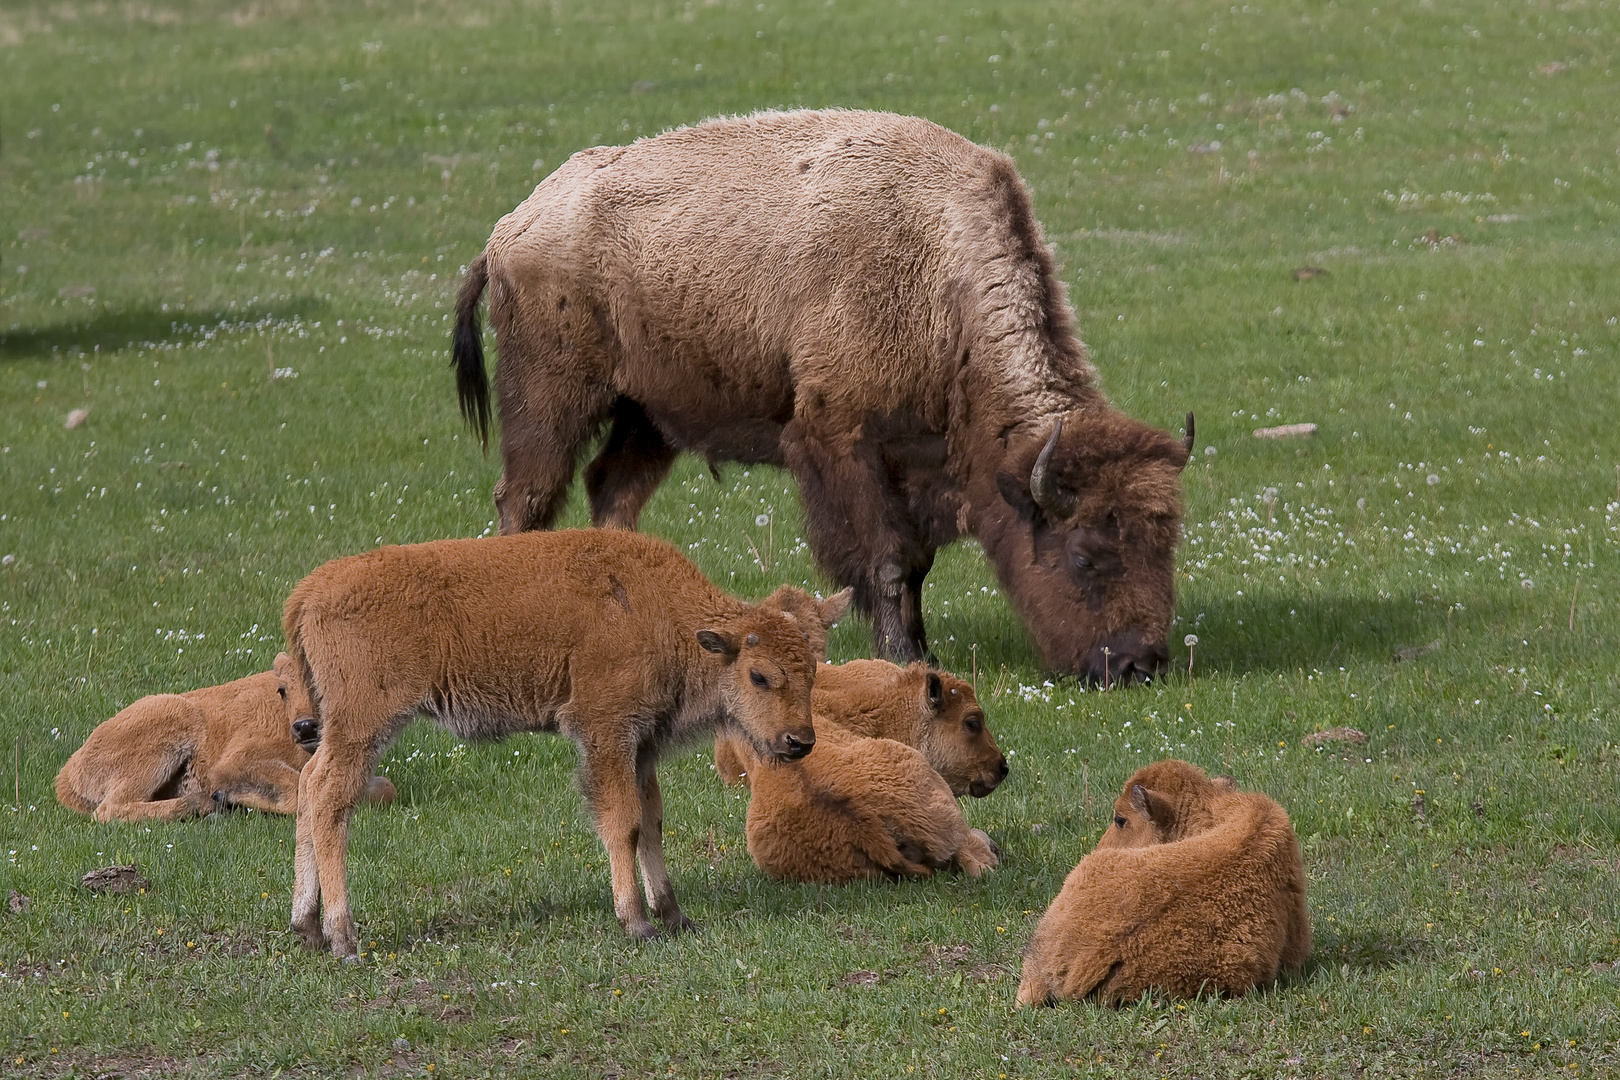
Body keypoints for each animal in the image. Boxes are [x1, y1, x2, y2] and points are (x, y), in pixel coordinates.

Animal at [55, 654, 396, 822]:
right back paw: (209, 804)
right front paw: (231, 798)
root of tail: (67, 774)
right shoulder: (237, 761)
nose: (305, 726)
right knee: (109, 809)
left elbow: (384, 789)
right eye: (282, 690)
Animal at [285, 527, 855, 958]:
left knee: (309, 788)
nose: (799, 741)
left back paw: (307, 929)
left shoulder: (641, 747)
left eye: (814, 667)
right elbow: (623, 823)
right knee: (330, 799)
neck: (663, 612)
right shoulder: (605, 734)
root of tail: (309, 591)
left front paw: (675, 916)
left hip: (338, 730)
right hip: (364, 726)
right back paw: (344, 937)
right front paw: (637, 923)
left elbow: (652, 822)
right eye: (760, 675)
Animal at [453, 110, 1192, 683]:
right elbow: (887, 560)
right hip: (551, 397)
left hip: (649, 416)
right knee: (526, 499)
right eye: (1086, 556)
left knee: (612, 493)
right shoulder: (842, 441)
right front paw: (901, 657)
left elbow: (915, 564)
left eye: (1166, 544)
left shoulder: (910, 462)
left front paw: (921, 650)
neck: (938, 273)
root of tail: (508, 229)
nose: (1140, 666)